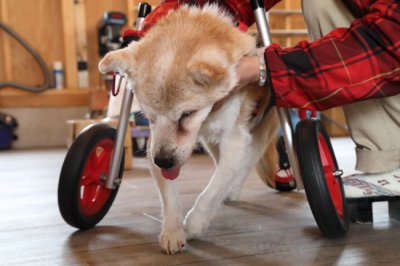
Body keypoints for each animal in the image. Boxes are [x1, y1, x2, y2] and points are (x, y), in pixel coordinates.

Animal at [99, 3, 280, 254]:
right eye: (148, 116)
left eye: (187, 114)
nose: (164, 161)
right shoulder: (155, 144)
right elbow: (170, 197)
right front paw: (172, 232)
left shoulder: (235, 139)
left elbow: (212, 189)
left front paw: (195, 223)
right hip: (210, 142)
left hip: (257, 135)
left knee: (244, 164)